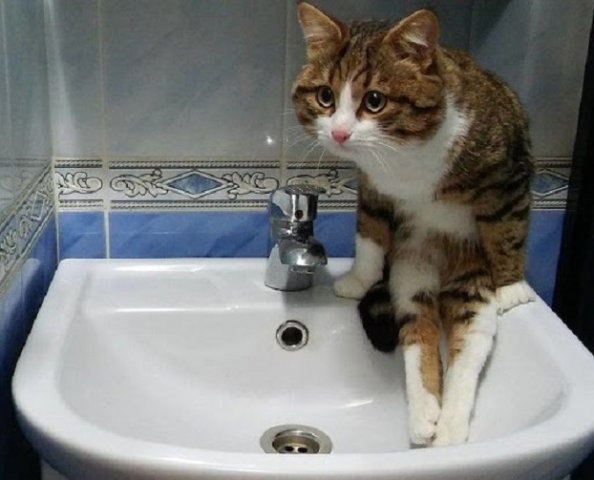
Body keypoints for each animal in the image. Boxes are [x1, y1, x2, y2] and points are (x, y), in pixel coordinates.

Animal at [292, 2, 535, 447]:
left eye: (374, 100)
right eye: (325, 96)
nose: (339, 133)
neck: (404, 158)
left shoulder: (508, 174)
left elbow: (506, 226)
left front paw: (512, 285)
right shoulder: (373, 186)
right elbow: (369, 231)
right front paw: (359, 279)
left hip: (470, 273)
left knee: (468, 348)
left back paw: (450, 426)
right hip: (409, 272)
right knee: (418, 331)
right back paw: (424, 413)